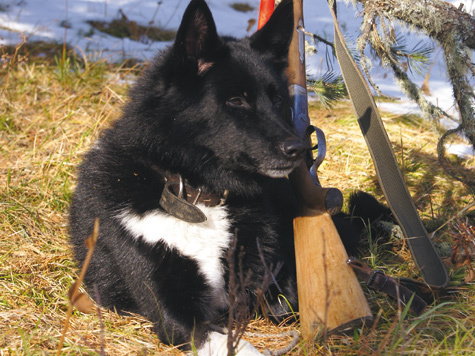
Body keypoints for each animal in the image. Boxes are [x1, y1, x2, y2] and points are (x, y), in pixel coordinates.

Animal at [69, 0, 372, 354]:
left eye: (277, 99)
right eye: (236, 100)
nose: (297, 149)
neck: (198, 194)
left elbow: (284, 300)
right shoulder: (175, 312)